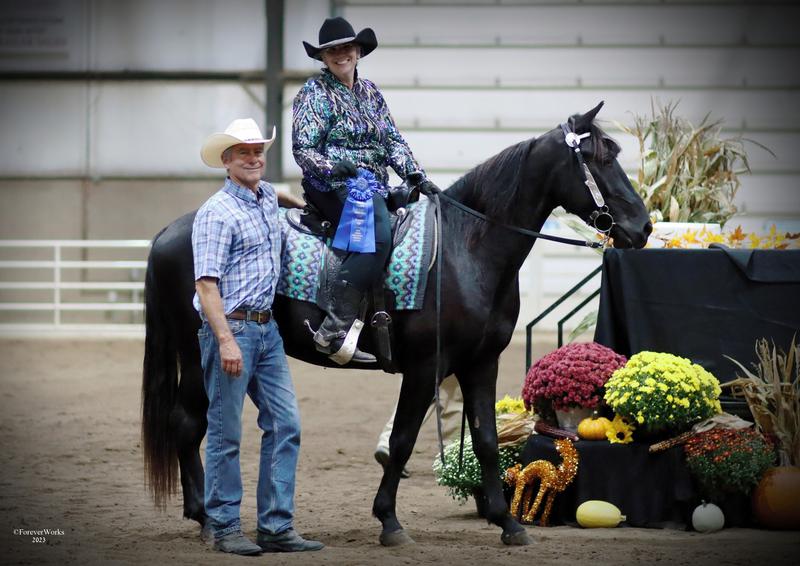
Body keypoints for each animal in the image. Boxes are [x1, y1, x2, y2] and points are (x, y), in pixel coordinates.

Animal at [141, 102, 652, 547]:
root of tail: (169, 233)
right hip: (199, 353)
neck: (466, 249)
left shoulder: (480, 363)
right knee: (189, 423)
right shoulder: (426, 367)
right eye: (600, 158)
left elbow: (486, 440)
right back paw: (206, 520)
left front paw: (507, 523)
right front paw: (389, 521)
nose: (642, 227)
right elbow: (403, 440)